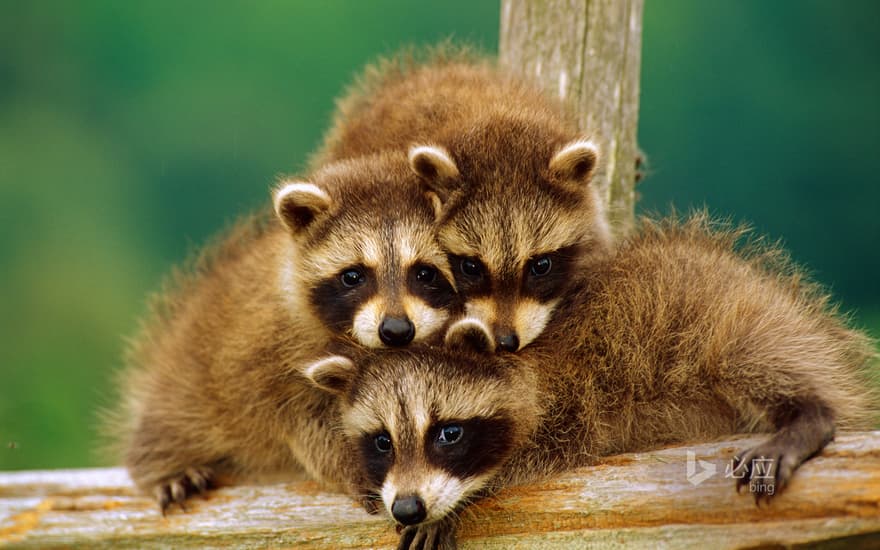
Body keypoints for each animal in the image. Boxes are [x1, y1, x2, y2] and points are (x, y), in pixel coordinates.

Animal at [116, 152, 458, 512]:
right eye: (353, 275)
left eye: (425, 272)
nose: (395, 330)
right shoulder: (270, 358)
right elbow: (307, 425)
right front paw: (360, 465)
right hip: (189, 383)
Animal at [306, 215, 876, 550]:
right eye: (382, 441)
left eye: (447, 433)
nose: (407, 506)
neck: (522, 363)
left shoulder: (574, 398)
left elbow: (533, 455)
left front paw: (459, 501)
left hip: (736, 316)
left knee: (752, 356)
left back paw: (811, 413)